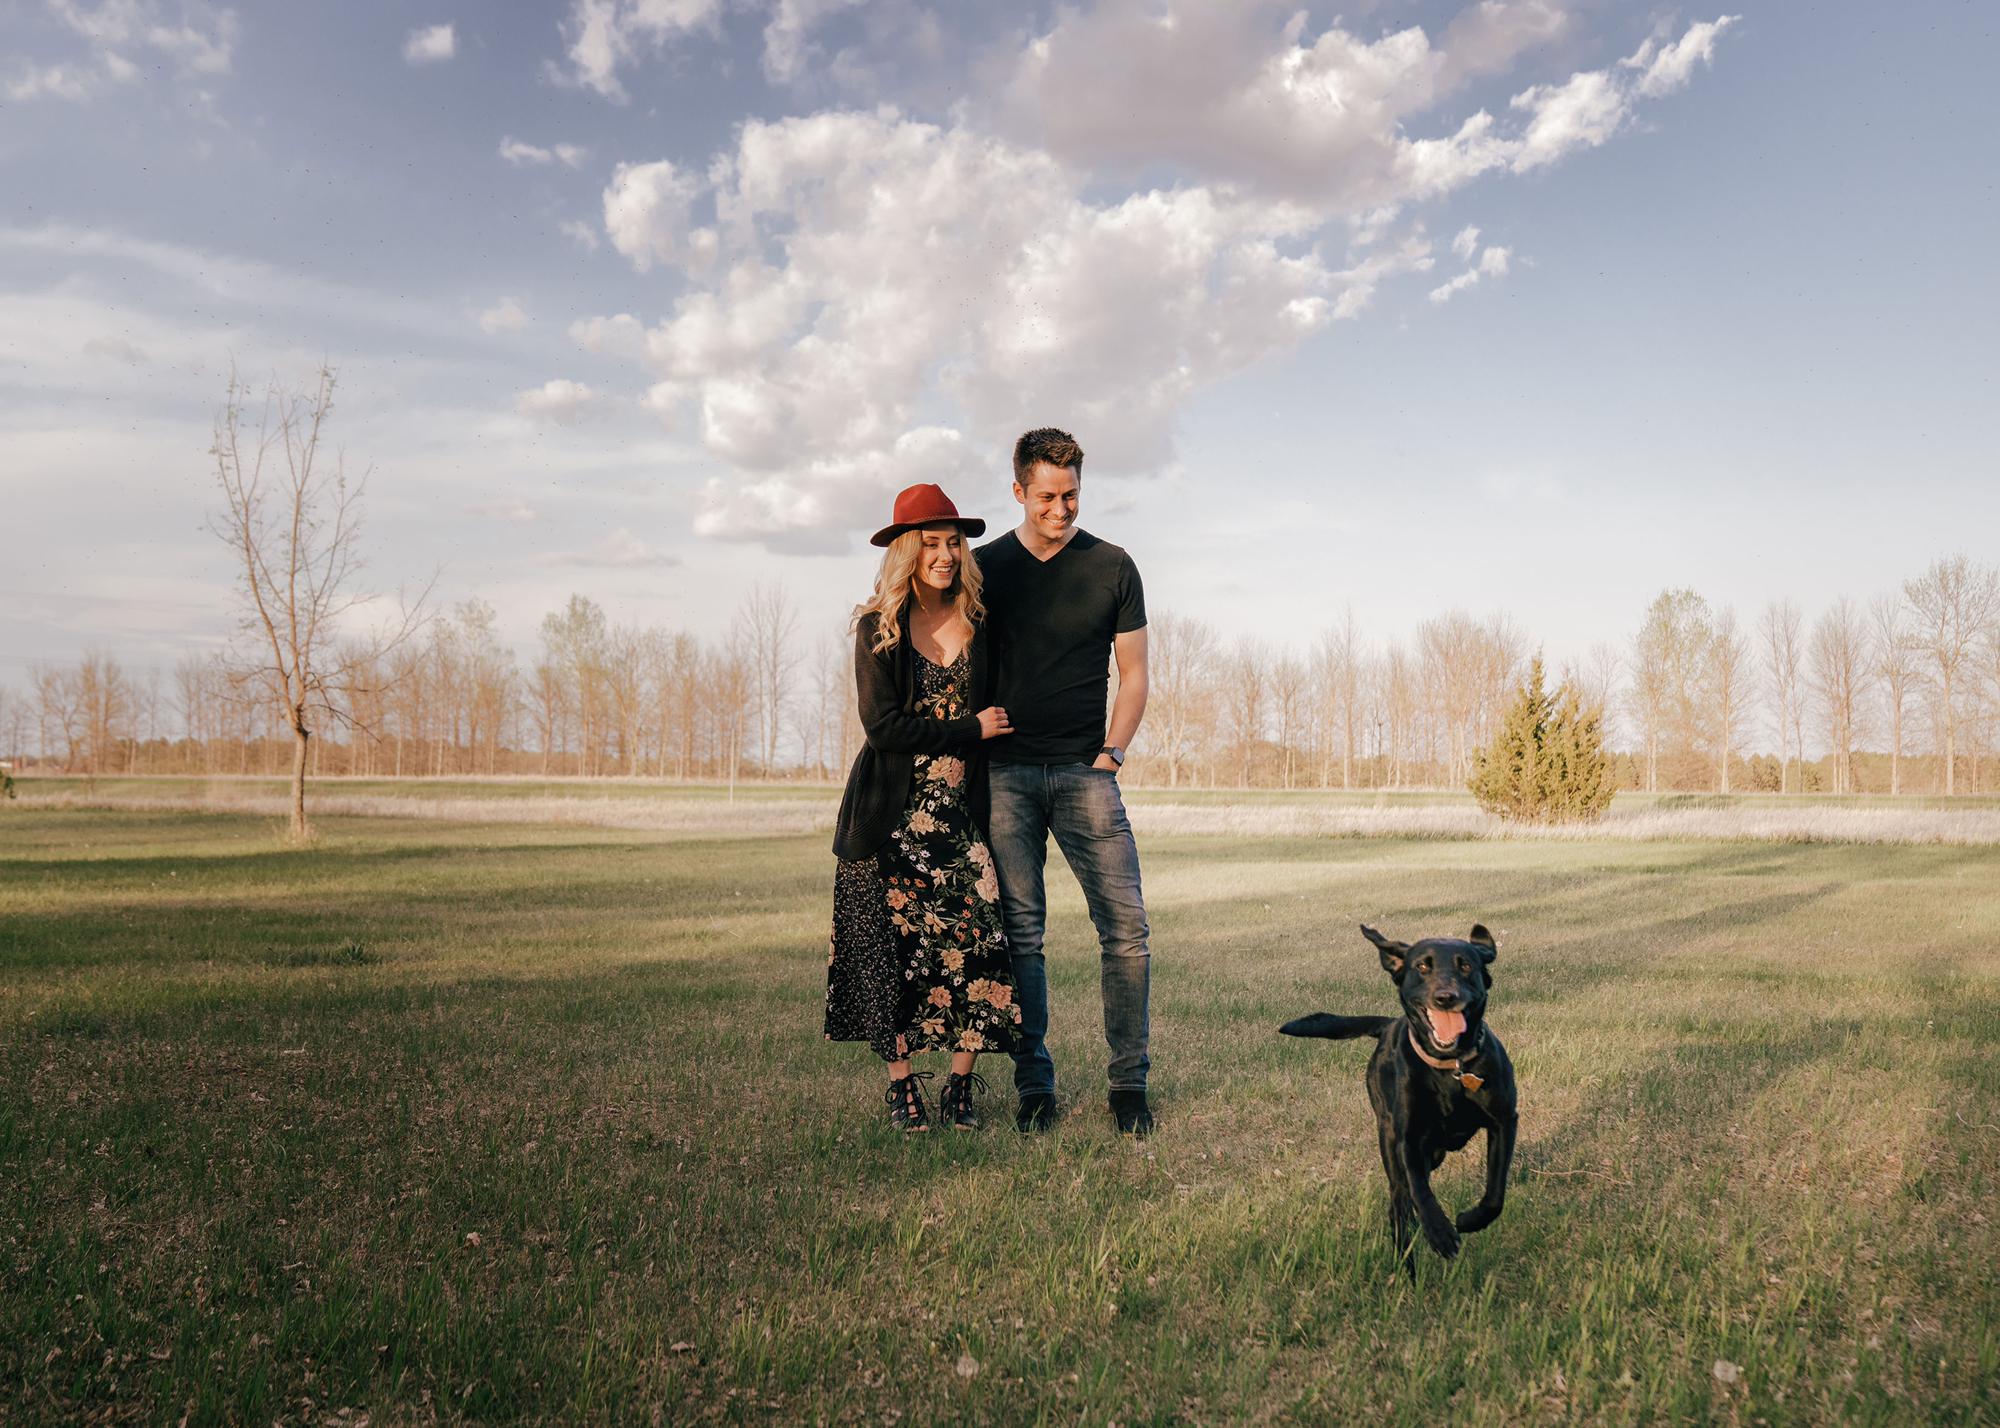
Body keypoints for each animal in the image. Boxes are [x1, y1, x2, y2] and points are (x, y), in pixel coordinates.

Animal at [1281, 923, 1518, 1269]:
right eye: (1422, 967)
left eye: (1465, 966)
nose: (1445, 997)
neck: (1449, 1067)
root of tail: (1388, 1025)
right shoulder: (1408, 1137)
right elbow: (1420, 1191)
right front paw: (1439, 1232)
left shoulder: (1504, 1120)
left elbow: (1496, 1192)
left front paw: (1470, 1220)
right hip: (1390, 1141)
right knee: (1399, 1202)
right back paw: (1406, 1263)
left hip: (1435, 1153)